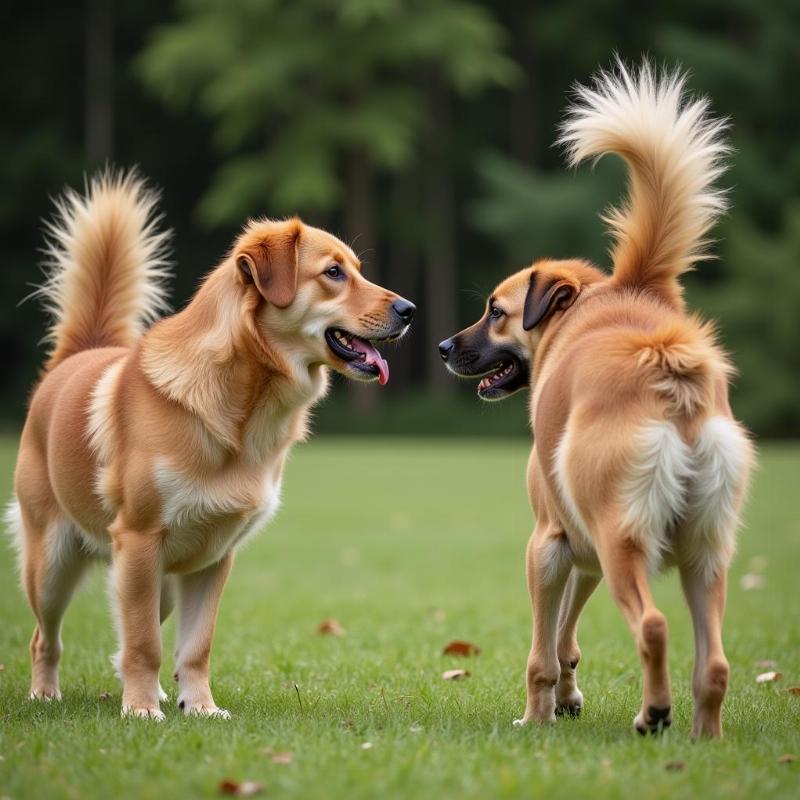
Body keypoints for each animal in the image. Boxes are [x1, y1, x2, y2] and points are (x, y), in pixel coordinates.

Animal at [9, 173, 416, 720]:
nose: (409, 310)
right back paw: (45, 693)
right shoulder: (139, 539)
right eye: (333, 273)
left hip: (156, 582)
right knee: (45, 637)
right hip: (54, 564)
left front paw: (198, 707)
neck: (243, 406)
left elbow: (193, 647)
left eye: (357, 270)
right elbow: (144, 644)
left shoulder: (214, 557)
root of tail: (80, 353)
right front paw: (141, 711)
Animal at [440, 62, 752, 736]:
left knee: (653, 626)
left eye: (495, 312)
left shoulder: (549, 545)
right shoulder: (582, 556)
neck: (585, 309)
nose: (444, 346)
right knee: (714, 664)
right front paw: (566, 701)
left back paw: (654, 714)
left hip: (623, 541)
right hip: (706, 555)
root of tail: (669, 371)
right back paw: (704, 736)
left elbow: (542, 649)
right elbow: (566, 641)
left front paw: (537, 717)